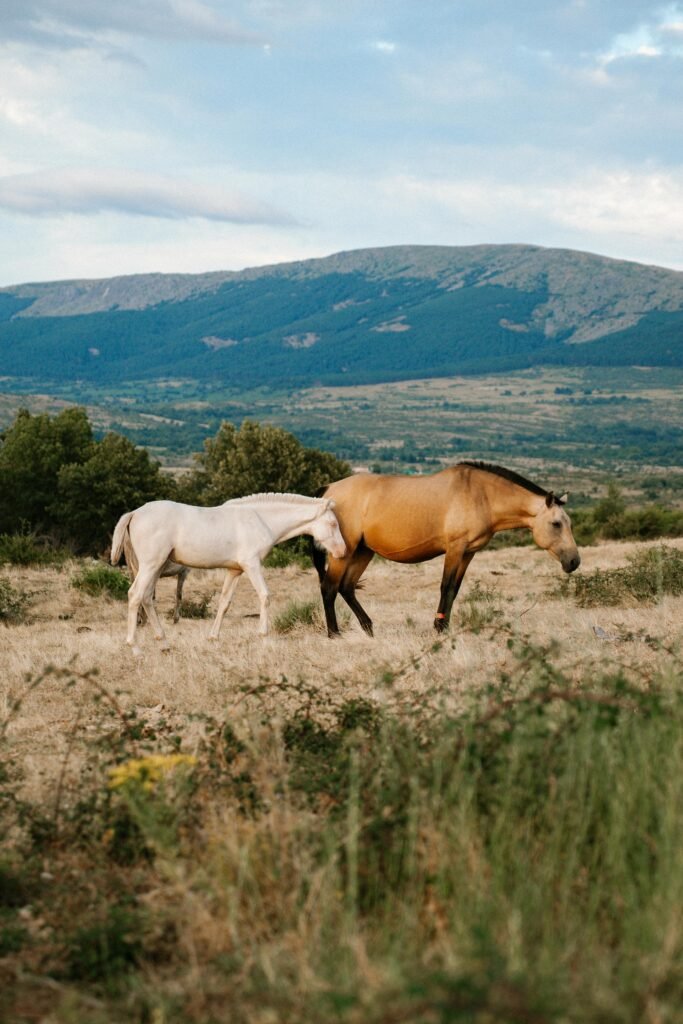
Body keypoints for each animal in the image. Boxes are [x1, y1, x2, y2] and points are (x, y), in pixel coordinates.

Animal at [110, 493, 346, 654]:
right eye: (333, 523)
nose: (342, 552)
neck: (261, 520)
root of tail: (134, 513)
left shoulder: (235, 571)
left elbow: (224, 603)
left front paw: (213, 638)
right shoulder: (252, 565)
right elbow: (265, 596)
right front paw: (264, 637)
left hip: (155, 567)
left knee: (147, 598)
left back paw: (164, 644)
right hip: (150, 565)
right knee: (135, 595)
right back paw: (135, 648)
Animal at [313, 461, 580, 638]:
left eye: (569, 523)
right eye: (556, 524)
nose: (574, 561)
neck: (481, 495)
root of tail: (329, 489)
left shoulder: (468, 552)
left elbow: (454, 589)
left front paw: (444, 627)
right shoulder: (455, 549)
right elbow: (446, 586)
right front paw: (439, 628)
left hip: (363, 551)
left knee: (347, 588)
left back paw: (369, 629)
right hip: (344, 551)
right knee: (329, 588)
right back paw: (334, 634)